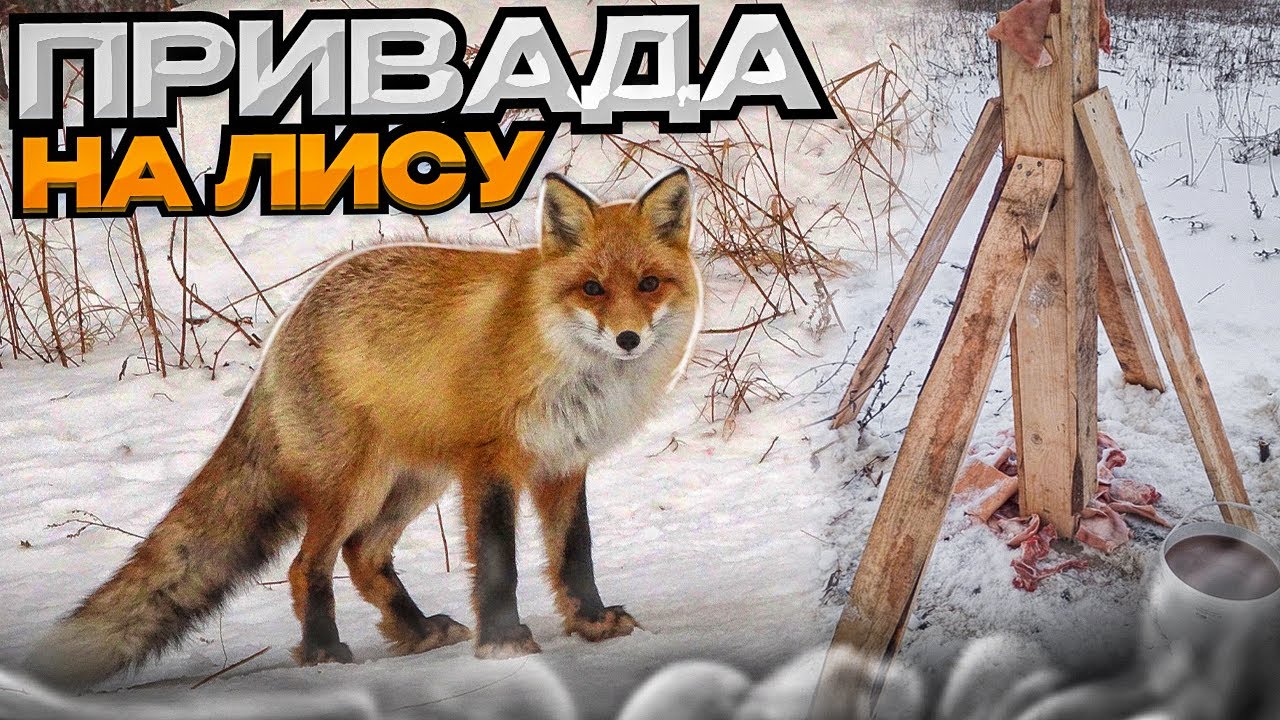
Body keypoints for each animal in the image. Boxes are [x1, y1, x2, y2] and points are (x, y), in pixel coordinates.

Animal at [24, 168, 702, 689]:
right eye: (592, 288)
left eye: (649, 284)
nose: (628, 338)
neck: (564, 361)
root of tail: (282, 332)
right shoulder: (492, 461)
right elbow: (498, 560)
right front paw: (504, 641)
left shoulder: (563, 462)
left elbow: (574, 554)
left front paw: (591, 624)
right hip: (354, 484)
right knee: (309, 564)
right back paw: (325, 652)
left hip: (412, 482)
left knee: (364, 555)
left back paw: (417, 630)